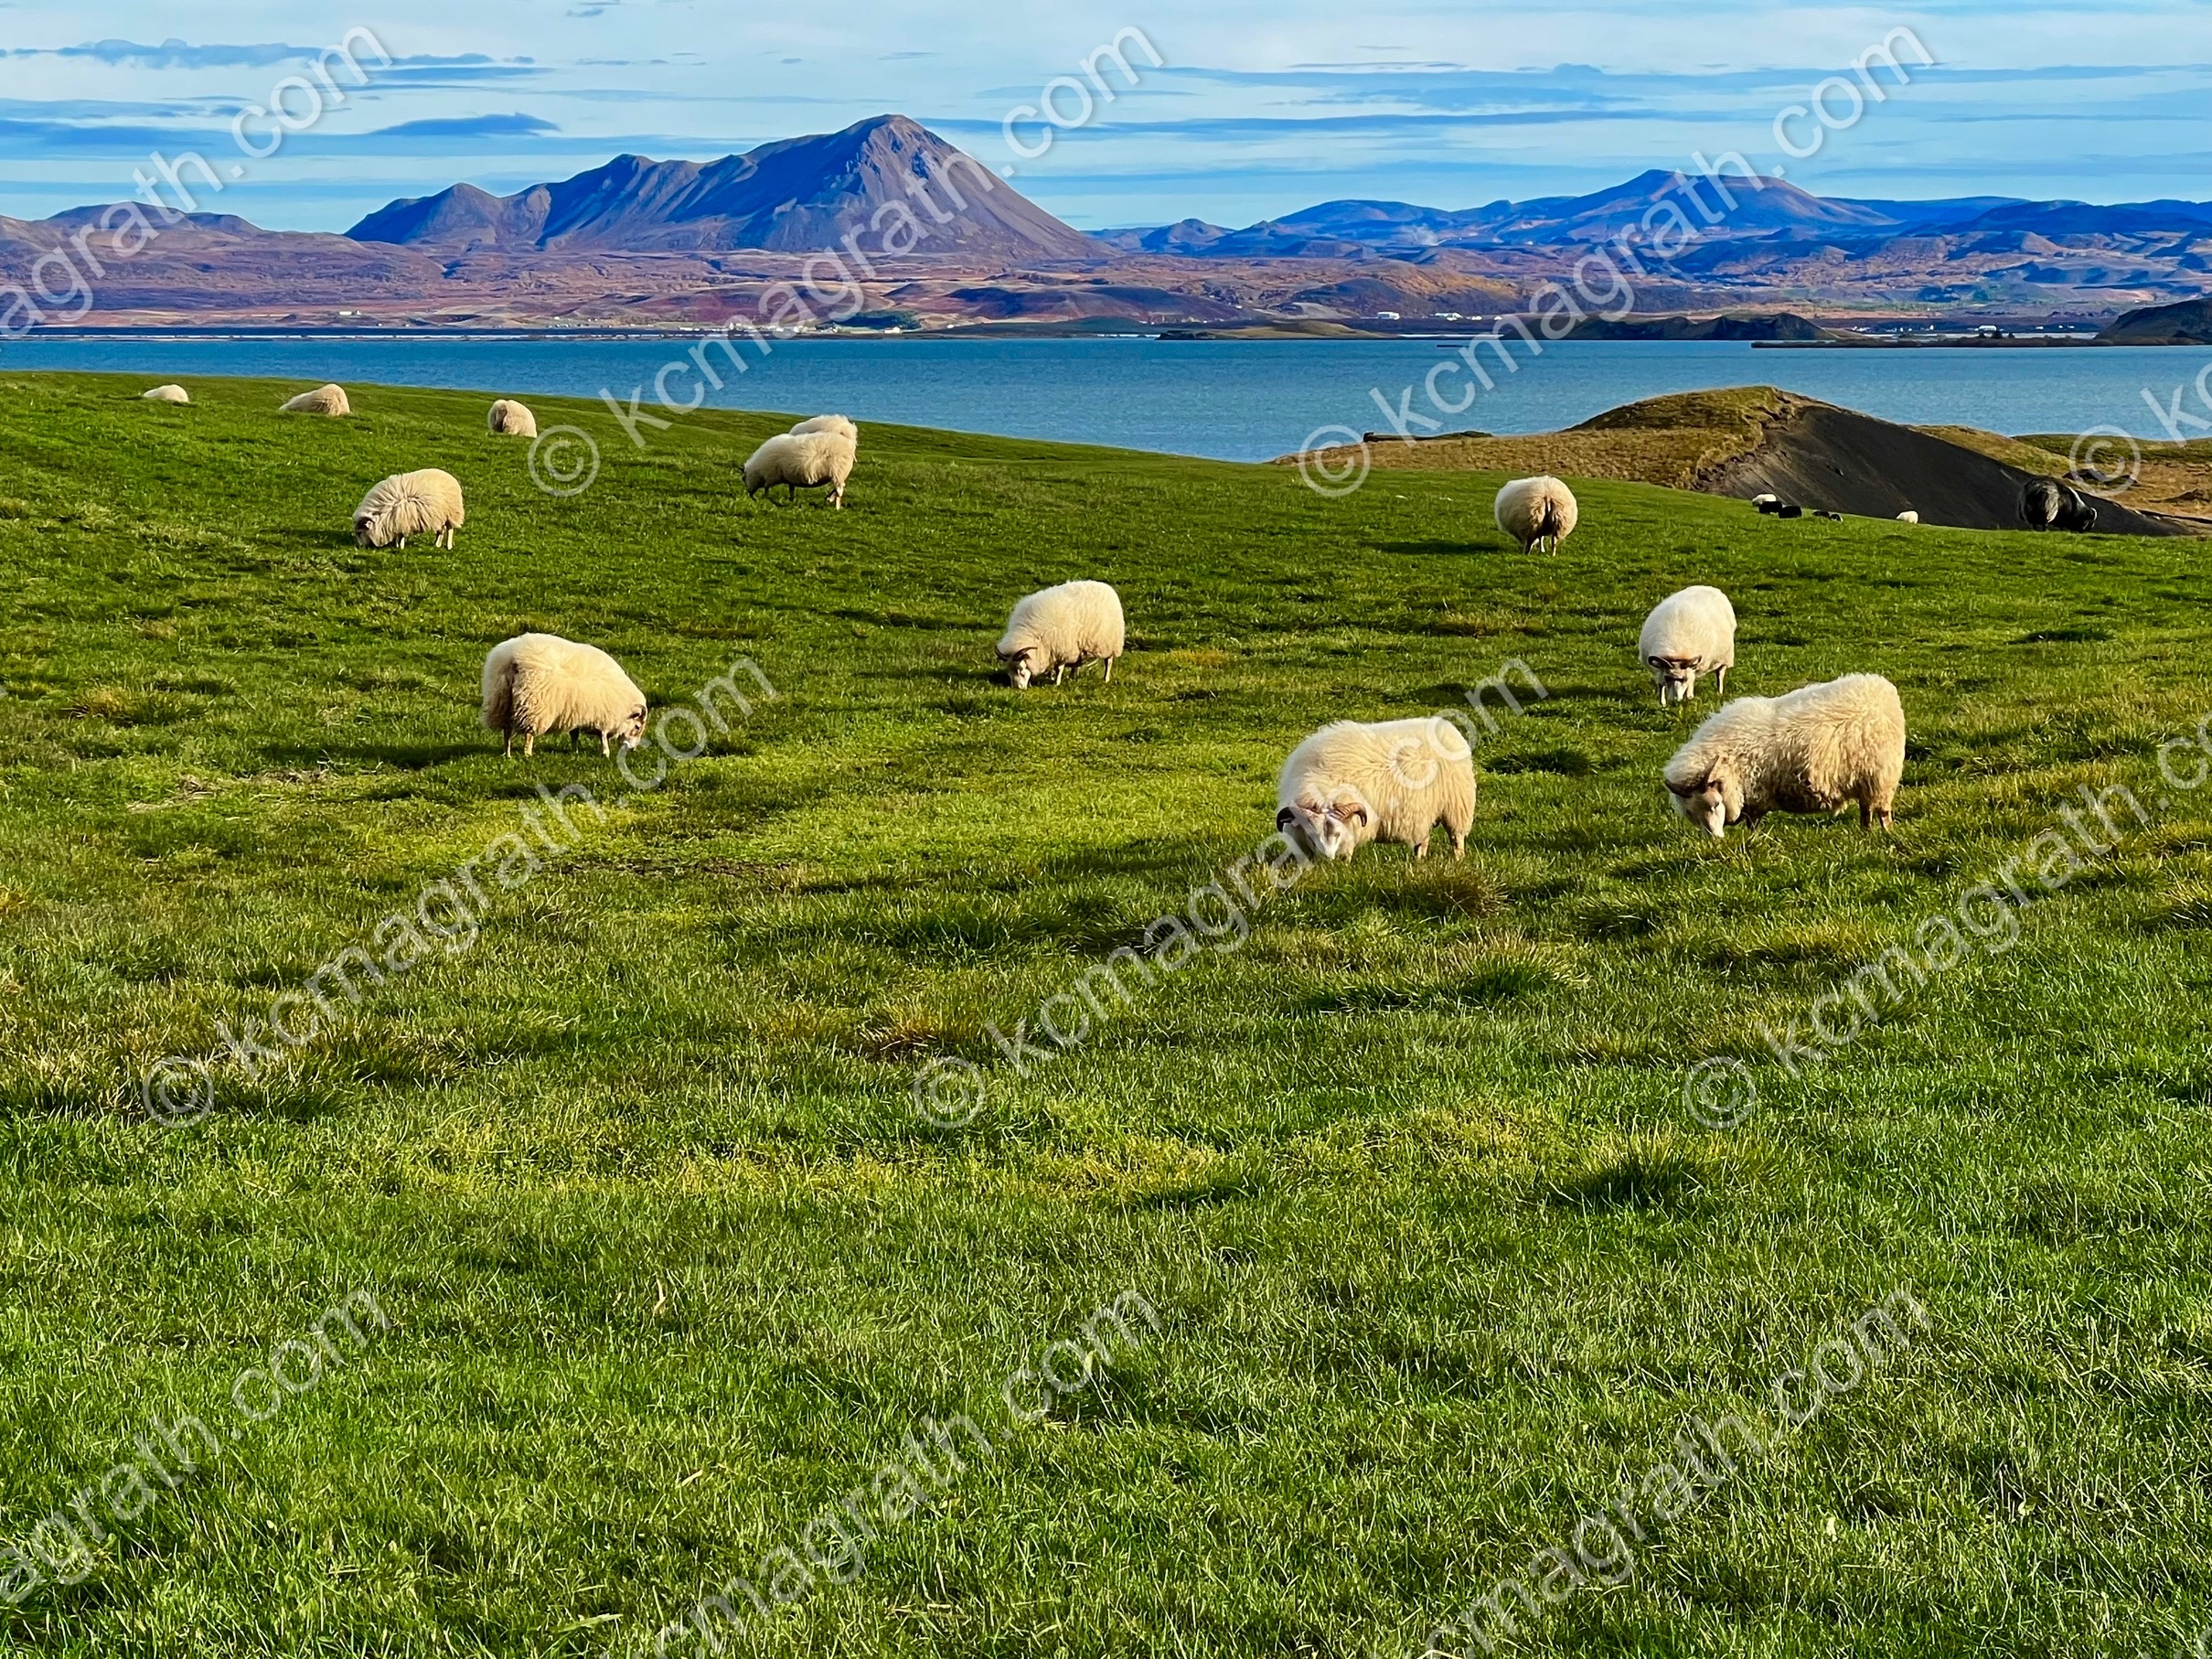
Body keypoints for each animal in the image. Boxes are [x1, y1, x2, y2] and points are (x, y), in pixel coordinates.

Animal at [480, 633, 647, 758]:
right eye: (637, 727)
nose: (633, 749)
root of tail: (512, 660)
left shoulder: (577, 711)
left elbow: (575, 734)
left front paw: (575, 751)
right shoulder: (603, 715)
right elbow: (603, 736)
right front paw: (605, 753)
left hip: (501, 701)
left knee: (506, 731)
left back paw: (507, 754)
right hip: (533, 705)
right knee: (528, 733)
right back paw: (527, 753)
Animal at [997, 580, 1124, 688]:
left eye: (1021, 669)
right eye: (1009, 671)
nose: (1018, 688)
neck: (1032, 635)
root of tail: (1107, 587)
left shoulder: (1062, 649)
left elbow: (1059, 668)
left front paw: (1056, 683)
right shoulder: (1051, 650)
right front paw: (1051, 677)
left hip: (1111, 644)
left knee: (1108, 662)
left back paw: (1106, 679)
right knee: (1077, 663)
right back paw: (1072, 676)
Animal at [1276, 717, 1477, 862]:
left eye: (1338, 833)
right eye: (1312, 835)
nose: (1327, 859)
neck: (1325, 785)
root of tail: (1446, 726)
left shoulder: (1355, 825)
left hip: (1456, 805)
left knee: (1456, 837)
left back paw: (1458, 860)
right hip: (1425, 809)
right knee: (1423, 838)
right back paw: (1418, 860)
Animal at [1639, 585, 1737, 707]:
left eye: (1683, 679)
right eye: (1667, 678)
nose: (1675, 700)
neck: (1676, 652)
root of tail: (1709, 587)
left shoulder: (1691, 671)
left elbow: (1690, 684)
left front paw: (1689, 698)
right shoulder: (1659, 672)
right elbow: (1661, 685)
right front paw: (1662, 703)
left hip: (1724, 657)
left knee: (1720, 674)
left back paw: (1719, 692)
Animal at [1663, 673, 1904, 838]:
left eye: (1715, 804)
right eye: (1691, 814)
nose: (1716, 839)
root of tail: (1883, 689)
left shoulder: (1755, 795)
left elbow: (1753, 824)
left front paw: (1753, 841)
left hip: (1880, 775)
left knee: (1880, 811)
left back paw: (1885, 833)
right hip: (1866, 779)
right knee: (1866, 810)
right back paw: (1866, 833)